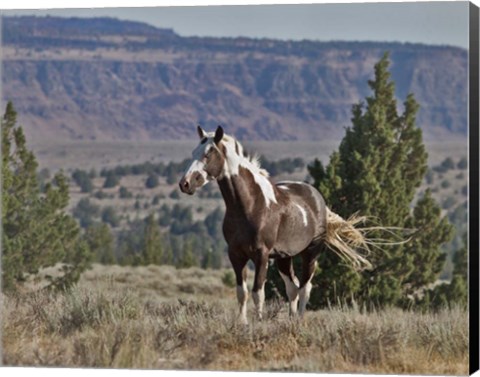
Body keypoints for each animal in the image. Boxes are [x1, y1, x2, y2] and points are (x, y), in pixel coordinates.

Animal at [180, 125, 372, 324]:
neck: (250, 205)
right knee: (293, 288)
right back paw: (291, 319)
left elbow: (258, 293)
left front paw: (258, 322)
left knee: (305, 288)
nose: (185, 184)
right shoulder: (236, 254)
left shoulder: (261, 254)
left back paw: (299, 320)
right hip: (284, 257)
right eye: (194, 152)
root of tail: (318, 199)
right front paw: (242, 323)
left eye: (208, 154)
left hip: (310, 253)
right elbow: (242, 292)